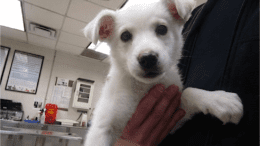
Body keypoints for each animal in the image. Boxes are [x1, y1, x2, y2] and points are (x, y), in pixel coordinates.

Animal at [84, 0, 244, 145]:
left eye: (162, 29)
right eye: (125, 36)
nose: (148, 58)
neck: (143, 88)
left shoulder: (172, 120)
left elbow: (187, 93)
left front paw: (220, 100)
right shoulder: (101, 128)